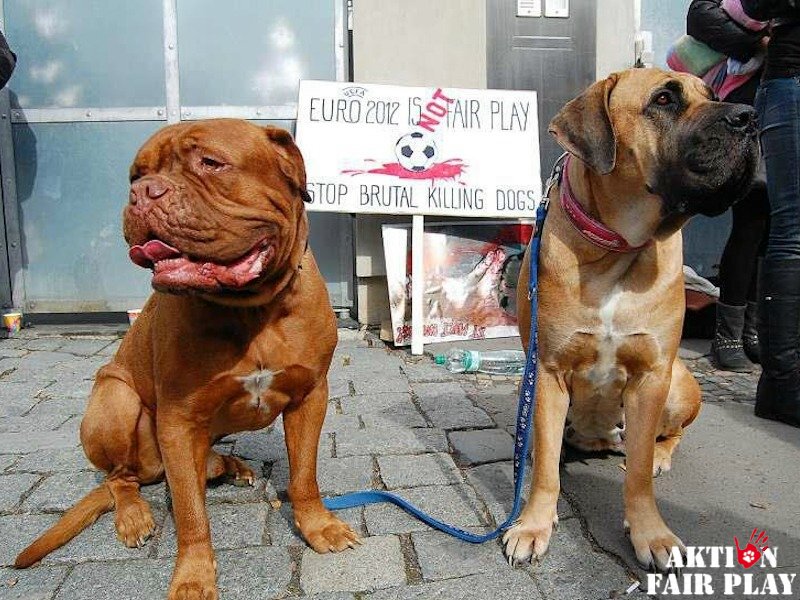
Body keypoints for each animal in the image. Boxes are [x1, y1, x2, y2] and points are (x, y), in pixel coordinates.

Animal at [15, 119, 359, 599]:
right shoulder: (178, 420)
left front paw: (318, 526)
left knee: (190, 468)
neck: (252, 309)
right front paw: (193, 577)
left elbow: (304, 475)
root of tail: (150, 467)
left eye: (211, 162)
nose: (143, 193)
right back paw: (134, 514)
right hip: (115, 400)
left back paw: (229, 466)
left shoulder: (310, 396)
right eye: (136, 175)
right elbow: (192, 514)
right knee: (121, 478)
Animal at [503, 69, 758, 571]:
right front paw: (534, 523)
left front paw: (651, 533)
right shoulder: (547, 372)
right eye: (663, 100)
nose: (748, 116)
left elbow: (637, 474)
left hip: (678, 385)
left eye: (713, 94)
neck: (618, 251)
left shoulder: (650, 376)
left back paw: (660, 454)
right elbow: (544, 469)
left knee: (670, 434)